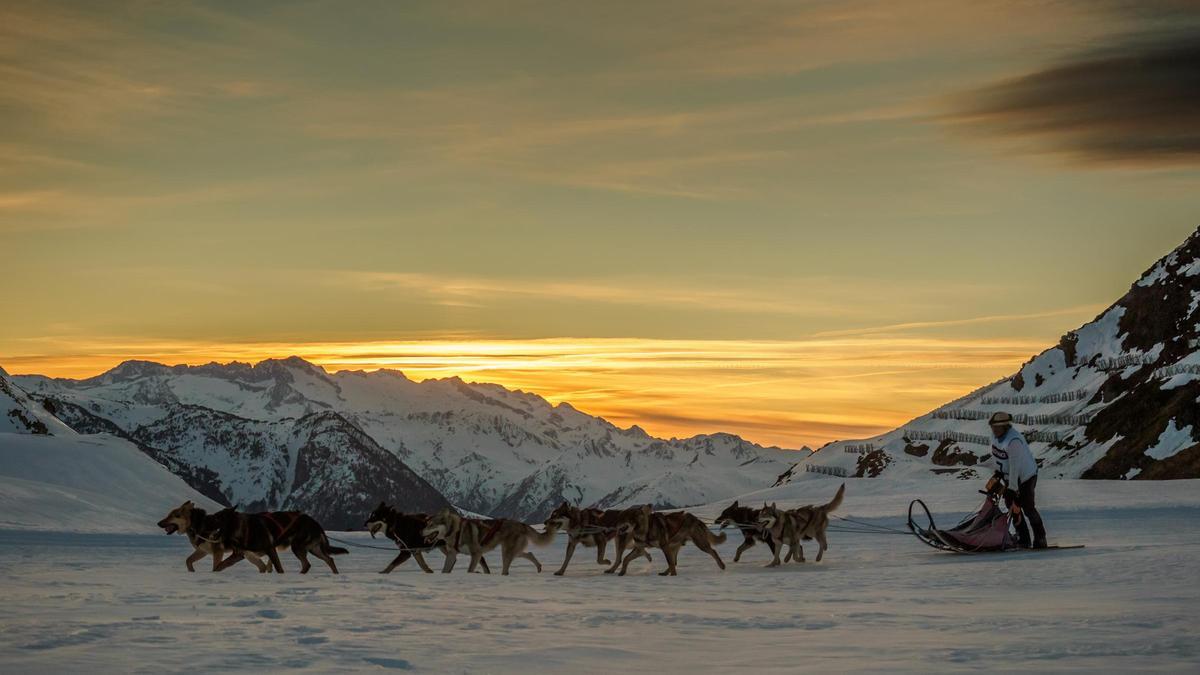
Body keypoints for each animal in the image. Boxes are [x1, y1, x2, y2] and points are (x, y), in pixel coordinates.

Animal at [211, 506, 348, 569]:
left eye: (218, 517)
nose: (208, 518)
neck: (243, 527)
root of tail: (315, 522)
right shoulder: (240, 555)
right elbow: (220, 566)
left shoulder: (271, 550)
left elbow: (278, 568)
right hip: (313, 549)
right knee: (329, 559)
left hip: (298, 547)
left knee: (308, 564)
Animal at [422, 509, 556, 571]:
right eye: (426, 524)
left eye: (431, 525)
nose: (420, 532)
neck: (456, 530)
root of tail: (522, 524)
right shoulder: (451, 555)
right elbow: (445, 571)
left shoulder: (476, 554)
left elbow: (470, 570)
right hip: (513, 552)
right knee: (530, 553)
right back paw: (538, 567)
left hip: (507, 554)